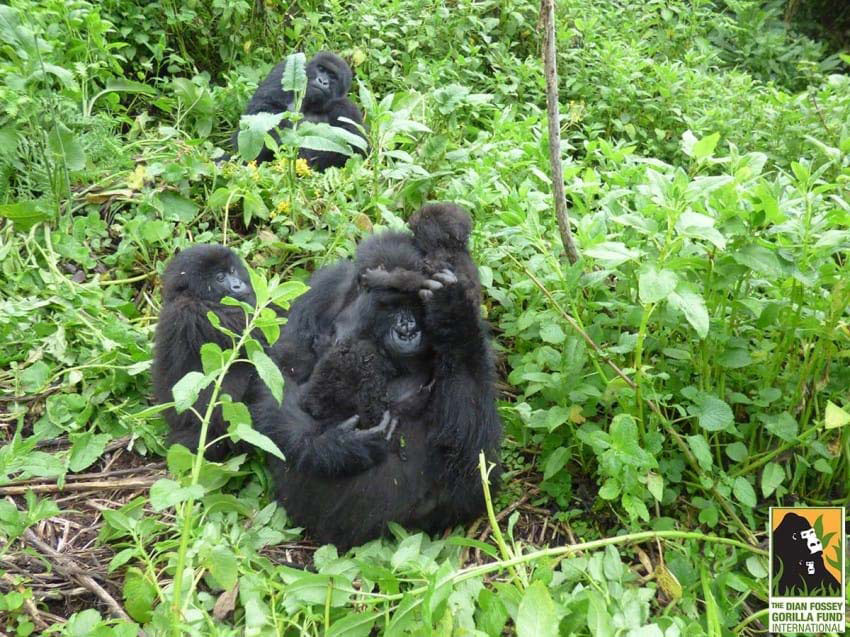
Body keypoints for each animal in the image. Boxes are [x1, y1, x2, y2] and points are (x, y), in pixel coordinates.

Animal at [230, 52, 366, 170]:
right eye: (321, 69)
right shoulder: (281, 71)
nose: (322, 81)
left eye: (333, 76)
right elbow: (260, 111)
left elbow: (356, 148)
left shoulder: (347, 110)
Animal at [264, 204, 504, 548]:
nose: (407, 328)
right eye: (390, 305)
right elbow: (282, 369)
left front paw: (451, 314)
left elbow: (469, 451)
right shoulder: (323, 288)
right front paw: (334, 446)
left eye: (416, 306)